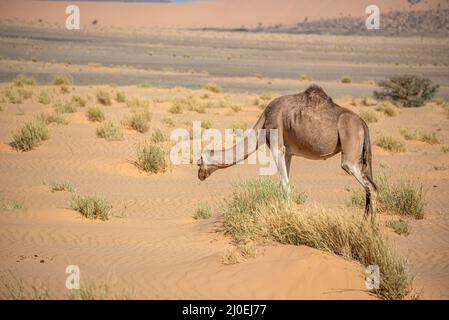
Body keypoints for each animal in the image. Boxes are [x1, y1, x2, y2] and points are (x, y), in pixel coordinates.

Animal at [198, 85, 376, 220]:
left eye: (199, 162)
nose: (199, 175)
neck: (262, 124)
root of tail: (363, 123)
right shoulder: (288, 152)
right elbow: (284, 182)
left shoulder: (277, 146)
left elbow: (285, 185)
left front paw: (288, 216)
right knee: (369, 187)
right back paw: (364, 225)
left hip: (350, 152)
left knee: (370, 186)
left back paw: (372, 230)